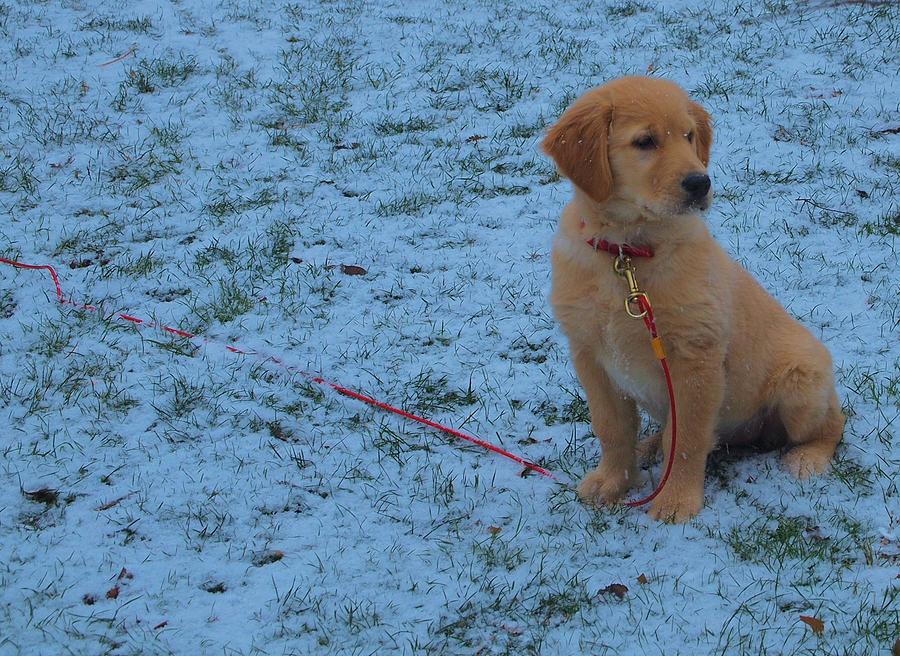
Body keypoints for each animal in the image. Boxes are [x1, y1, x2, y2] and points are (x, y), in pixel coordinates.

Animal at [540, 75, 844, 524]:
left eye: (687, 136)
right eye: (645, 141)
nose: (701, 183)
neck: (627, 256)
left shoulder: (694, 359)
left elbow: (685, 440)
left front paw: (676, 502)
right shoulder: (590, 355)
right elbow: (612, 427)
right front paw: (612, 481)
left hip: (801, 383)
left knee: (833, 425)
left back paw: (809, 458)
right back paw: (648, 445)